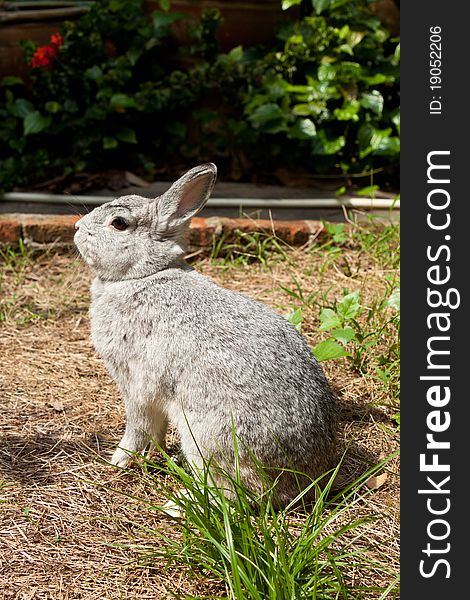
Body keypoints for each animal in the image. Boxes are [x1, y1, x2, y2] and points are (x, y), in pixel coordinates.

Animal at [75, 164, 336, 506]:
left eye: (119, 223)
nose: (77, 228)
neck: (143, 276)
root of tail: (303, 481)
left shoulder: (135, 383)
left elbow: (138, 425)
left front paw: (118, 459)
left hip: (207, 439)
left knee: (236, 494)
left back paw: (177, 504)